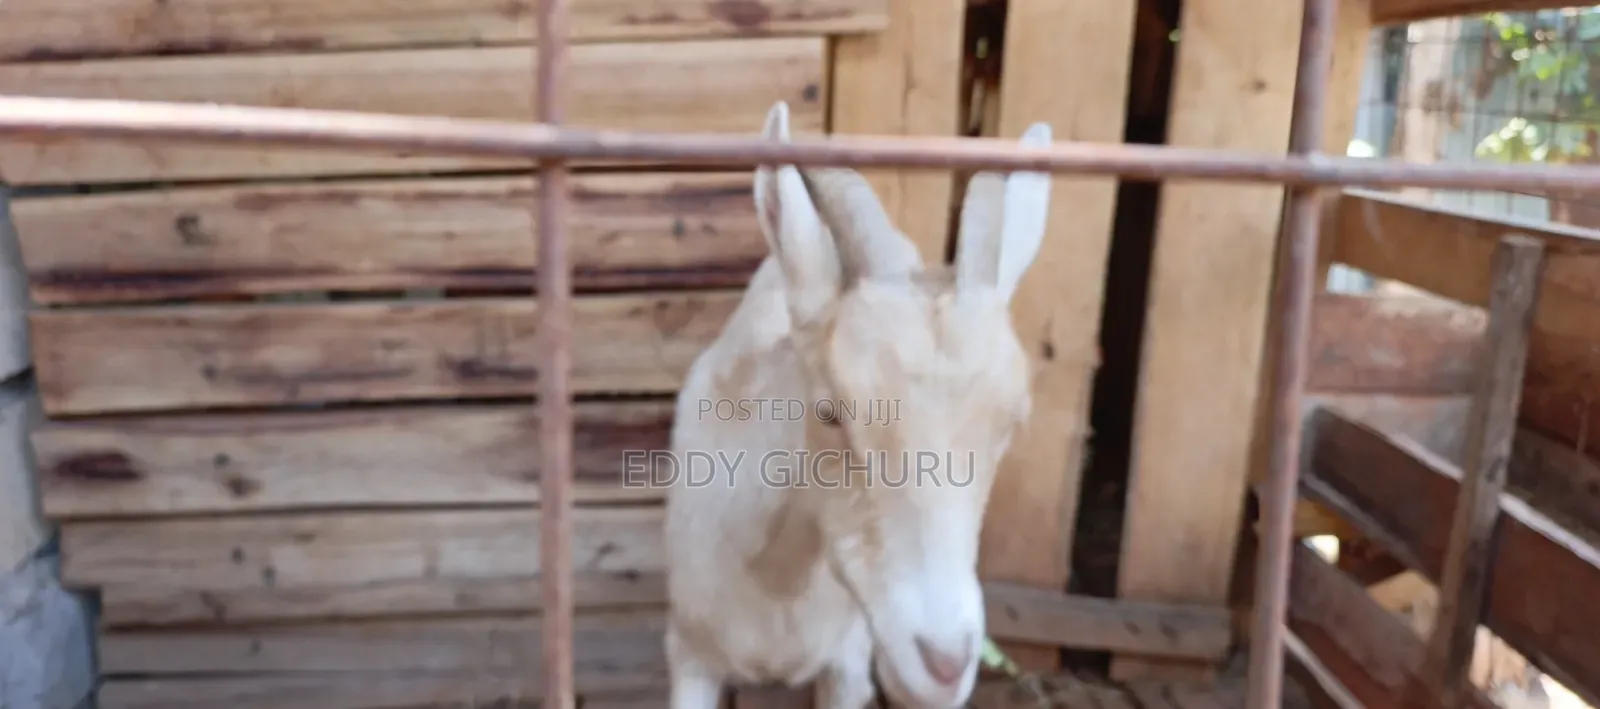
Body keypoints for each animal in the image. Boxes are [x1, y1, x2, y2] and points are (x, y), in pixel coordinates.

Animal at [663, 100, 1054, 709]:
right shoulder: (690, 654)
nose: (945, 663)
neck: (778, 580)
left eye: (1011, 422)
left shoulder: (848, 664)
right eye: (831, 412)